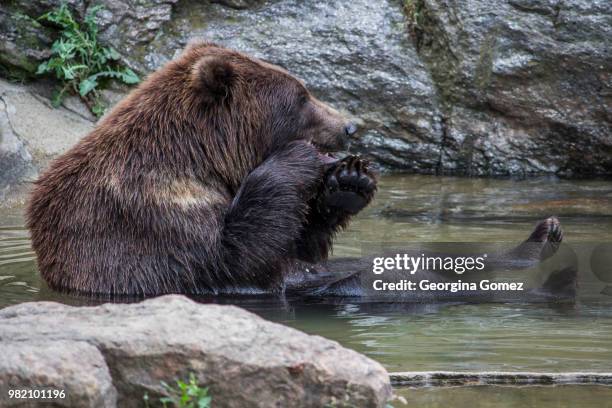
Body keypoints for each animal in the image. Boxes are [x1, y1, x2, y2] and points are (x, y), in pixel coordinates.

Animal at [27, 39, 378, 294]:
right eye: (302, 98)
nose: (349, 127)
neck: (203, 159)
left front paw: (349, 183)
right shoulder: (152, 213)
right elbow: (235, 258)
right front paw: (297, 158)